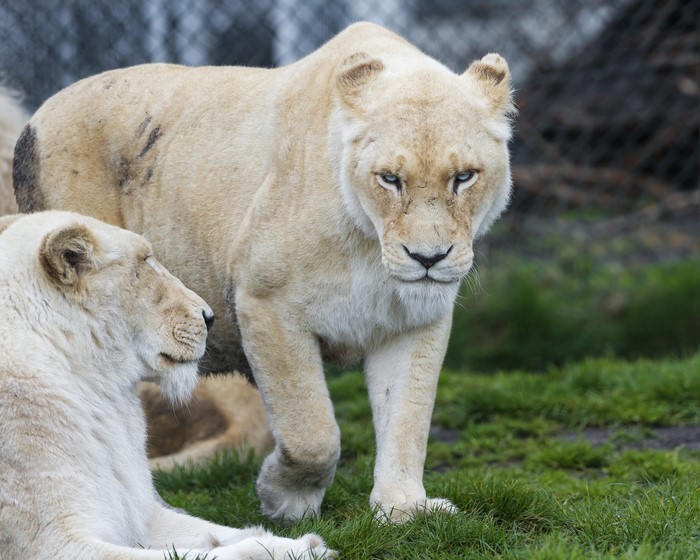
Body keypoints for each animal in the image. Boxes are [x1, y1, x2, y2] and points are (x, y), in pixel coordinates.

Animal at [0, 211, 333, 559]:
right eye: (145, 261)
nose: (210, 316)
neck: (101, 393)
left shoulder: (144, 513)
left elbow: (213, 531)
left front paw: (301, 544)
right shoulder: (49, 543)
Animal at [14, 22, 515, 523]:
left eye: (464, 177)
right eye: (390, 179)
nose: (428, 258)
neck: (369, 246)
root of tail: (37, 115)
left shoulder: (417, 319)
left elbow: (408, 416)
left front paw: (402, 506)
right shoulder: (264, 304)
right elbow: (312, 430)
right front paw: (285, 498)